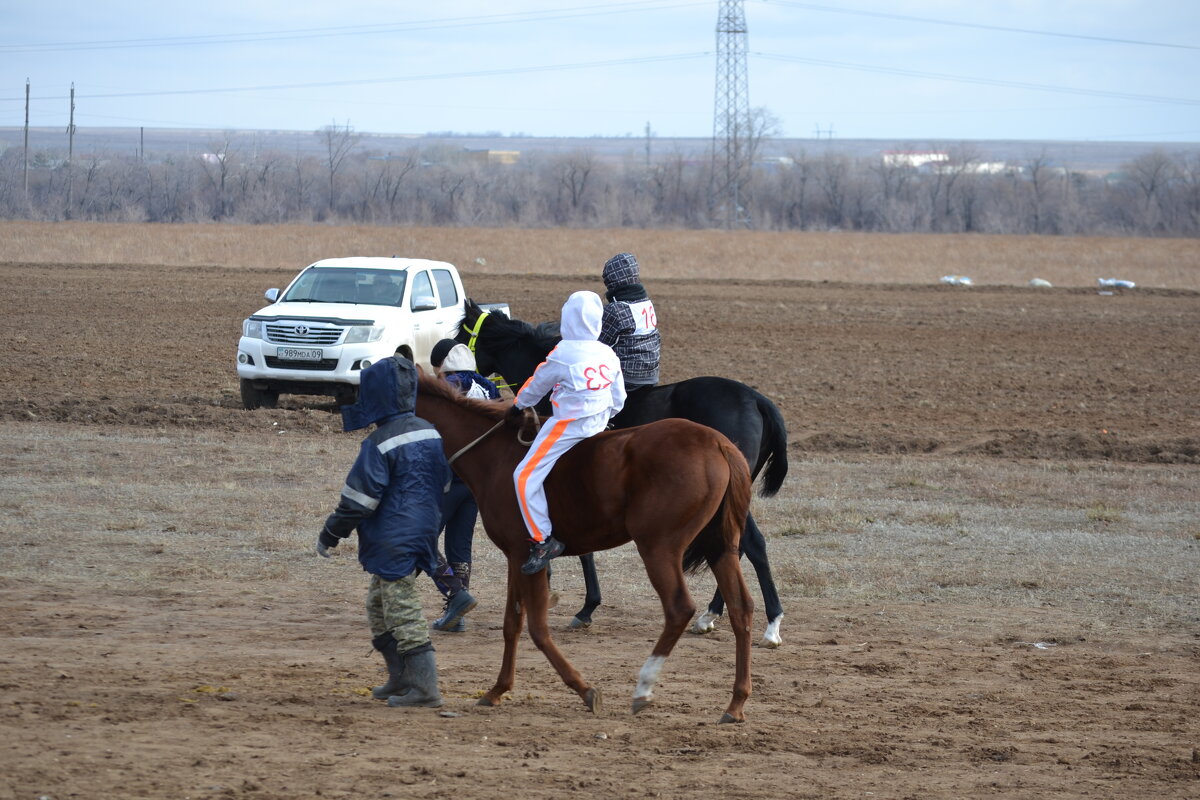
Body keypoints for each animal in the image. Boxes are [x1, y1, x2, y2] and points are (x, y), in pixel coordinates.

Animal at [415, 371, 748, 724]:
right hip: (720, 547)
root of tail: (717, 442)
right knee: (741, 609)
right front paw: (497, 690)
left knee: (679, 608)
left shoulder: (524, 555)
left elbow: (536, 628)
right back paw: (736, 703)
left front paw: (584, 689)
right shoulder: (515, 557)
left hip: (659, 547)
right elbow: (512, 624)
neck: (494, 456)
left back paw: (644, 687)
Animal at [456, 298, 787, 642]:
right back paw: (720, 615)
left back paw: (767, 623)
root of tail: (757, 399)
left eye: (461, 334)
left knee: (749, 544)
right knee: (741, 545)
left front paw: (580, 604)